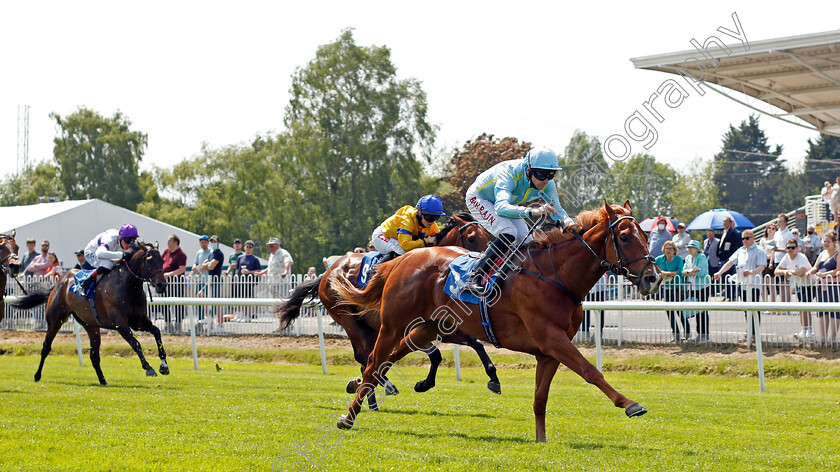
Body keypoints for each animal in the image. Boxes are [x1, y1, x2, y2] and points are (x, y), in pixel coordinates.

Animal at [11, 243, 169, 384]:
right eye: (149, 261)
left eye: (162, 261)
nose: (162, 285)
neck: (128, 285)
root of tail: (59, 282)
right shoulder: (119, 323)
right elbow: (135, 343)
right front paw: (148, 368)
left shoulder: (137, 320)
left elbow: (156, 332)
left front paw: (164, 365)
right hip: (55, 321)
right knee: (46, 347)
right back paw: (37, 375)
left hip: (91, 326)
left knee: (94, 356)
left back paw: (103, 381)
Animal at [278, 212, 498, 408]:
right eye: (471, 237)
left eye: (487, 236)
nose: (487, 264)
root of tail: (327, 273)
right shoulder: (408, 327)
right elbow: (434, 354)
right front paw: (422, 384)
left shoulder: (441, 326)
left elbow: (475, 343)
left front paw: (493, 377)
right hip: (347, 318)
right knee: (364, 355)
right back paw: (385, 387)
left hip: (369, 327)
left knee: (367, 357)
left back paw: (371, 400)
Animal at [332, 201, 660, 440]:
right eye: (624, 237)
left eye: (646, 236)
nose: (653, 277)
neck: (555, 276)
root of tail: (402, 260)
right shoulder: (552, 338)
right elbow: (590, 371)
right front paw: (630, 404)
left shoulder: (548, 351)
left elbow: (540, 398)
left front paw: (541, 441)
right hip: (390, 324)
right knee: (372, 362)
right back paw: (348, 416)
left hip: (425, 328)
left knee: (387, 361)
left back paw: (362, 393)